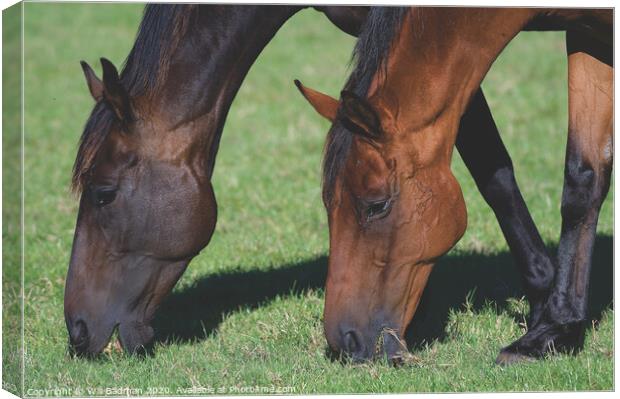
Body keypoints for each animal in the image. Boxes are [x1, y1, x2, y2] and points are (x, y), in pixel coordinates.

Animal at [298, 7, 612, 368]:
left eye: (376, 205)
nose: (344, 341)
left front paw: (552, 329)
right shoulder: (587, 32)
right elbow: (584, 174)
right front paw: (554, 329)